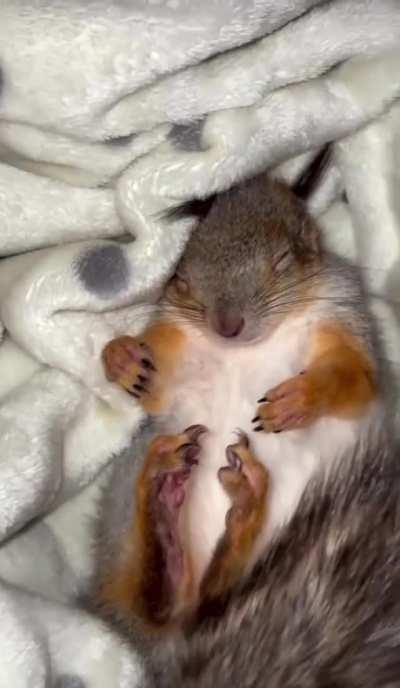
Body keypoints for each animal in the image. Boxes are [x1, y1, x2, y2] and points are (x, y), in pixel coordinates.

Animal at [91, 148, 393, 684]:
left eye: (285, 258)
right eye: (180, 276)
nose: (227, 326)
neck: (246, 350)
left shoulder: (346, 321)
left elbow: (354, 380)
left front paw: (300, 399)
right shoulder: (178, 351)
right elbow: (154, 387)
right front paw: (121, 357)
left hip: (282, 552)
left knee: (210, 592)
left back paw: (244, 500)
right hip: (124, 499)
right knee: (161, 601)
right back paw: (165, 502)